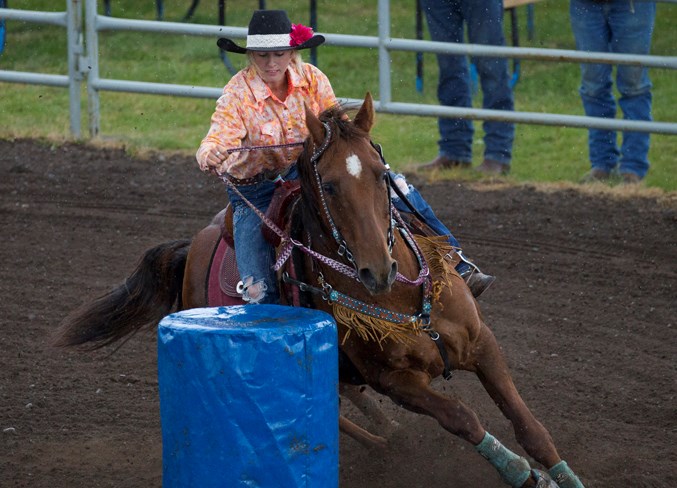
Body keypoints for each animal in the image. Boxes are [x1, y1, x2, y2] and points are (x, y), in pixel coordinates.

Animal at [55, 93, 584, 486]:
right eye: (327, 185)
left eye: (380, 172)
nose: (379, 271)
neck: (398, 297)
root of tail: (194, 246)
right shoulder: (396, 382)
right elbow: (464, 418)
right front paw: (523, 474)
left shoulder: (481, 343)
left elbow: (529, 426)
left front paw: (563, 476)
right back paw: (386, 442)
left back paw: (388, 434)